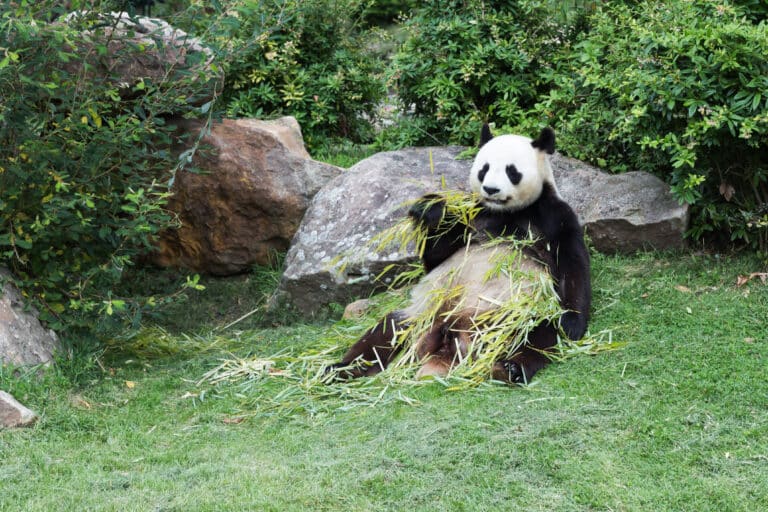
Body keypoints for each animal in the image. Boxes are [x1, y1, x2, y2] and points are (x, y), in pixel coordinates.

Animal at [330, 125, 591, 384]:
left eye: (512, 171)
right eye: (484, 169)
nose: (491, 189)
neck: (505, 212)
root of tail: (453, 336)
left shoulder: (554, 216)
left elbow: (572, 267)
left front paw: (571, 323)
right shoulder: (472, 215)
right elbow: (438, 256)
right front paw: (430, 208)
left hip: (517, 316)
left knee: (539, 335)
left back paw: (510, 368)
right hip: (422, 312)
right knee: (386, 331)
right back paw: (341, 369)